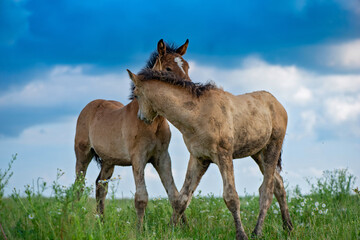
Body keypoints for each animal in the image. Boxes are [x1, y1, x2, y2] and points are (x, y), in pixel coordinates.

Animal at [74, 39, 190, 227]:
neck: (151, 122)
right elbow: (141, 197)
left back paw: (102, 223)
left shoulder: (162, 157)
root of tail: (90, 106)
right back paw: (73, 217)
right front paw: (139, 229)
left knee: (100, 186)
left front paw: (184, 227)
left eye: (187, 66)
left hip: (108, 160)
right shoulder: (138, 157)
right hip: (83, 154)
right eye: (168, 68)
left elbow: (174, 194)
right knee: (79, 186)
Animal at [128, 68, 294, 239]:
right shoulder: (199, 158)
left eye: (136, 95)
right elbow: (182, 199)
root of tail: (278, 104)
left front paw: (241, 234)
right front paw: (170, 230)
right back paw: (288, 227)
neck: (197, 114)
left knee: (266, 191)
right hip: (258, 153)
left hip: (272, 148)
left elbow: (231, 197)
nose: (142, 117)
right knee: (279, 184)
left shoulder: (224, 156)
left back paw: (257, 232)